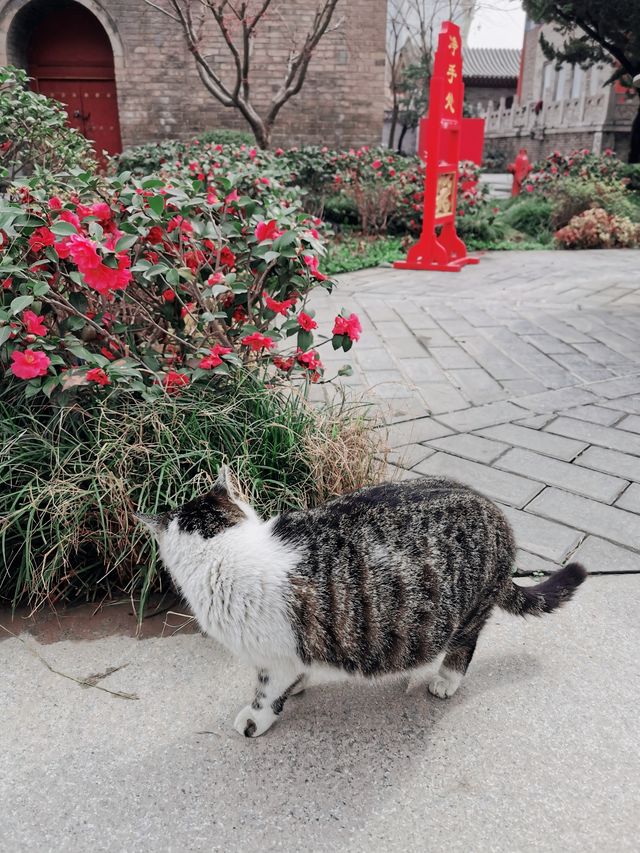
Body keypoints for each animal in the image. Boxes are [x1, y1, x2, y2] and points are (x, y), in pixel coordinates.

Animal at [138, 470, 588, 736]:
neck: (226, 547)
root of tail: (498, 515)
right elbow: (298, 671)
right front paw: (301, 685)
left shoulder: (275, 656)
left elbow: (266, 693)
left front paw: (256, 719)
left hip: (469, 610)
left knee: (465, 643)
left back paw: (447, 678)